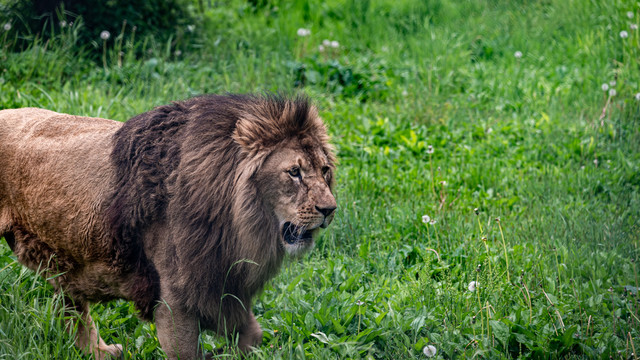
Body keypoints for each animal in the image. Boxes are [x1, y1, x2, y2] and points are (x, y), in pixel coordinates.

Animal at [0, 94, 338, 358]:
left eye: (324, 171)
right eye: (293, 172)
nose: (330, 209)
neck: (238, 225)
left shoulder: (222, 287)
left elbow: (252, 337)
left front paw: (223, 352)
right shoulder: (175, 300)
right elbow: (187, 352)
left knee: (72, 305)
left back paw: (100, 352)